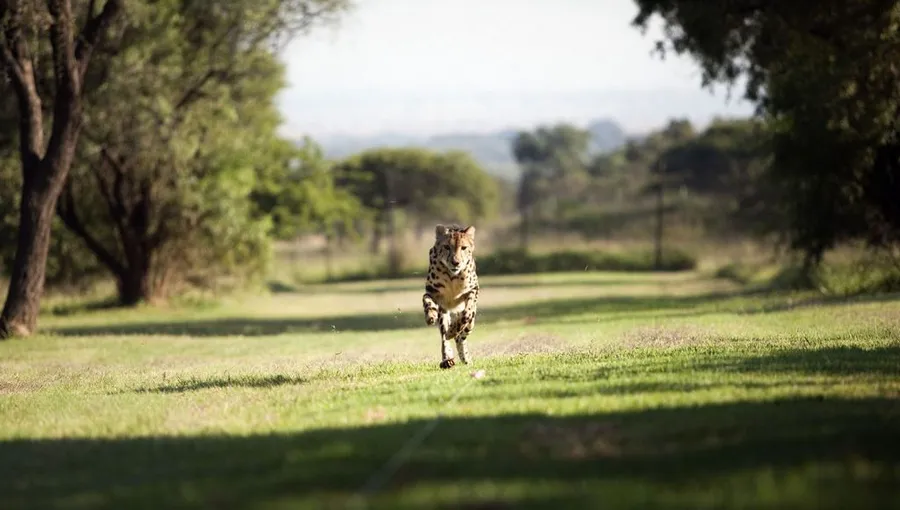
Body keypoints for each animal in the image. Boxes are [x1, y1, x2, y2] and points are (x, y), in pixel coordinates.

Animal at [422, 224, 480, 369]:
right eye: (447, 247)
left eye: (463, 248)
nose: (455, 262)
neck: (452, 275)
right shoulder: (431, 292)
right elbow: (427, 301)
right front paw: (430, 315)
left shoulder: (473, 290)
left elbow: (466, 314)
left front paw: (454, 330)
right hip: (444, 314)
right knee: (444, 337)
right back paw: (447, 359)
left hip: (471, 323)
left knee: (461, 337)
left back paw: (464, 356)